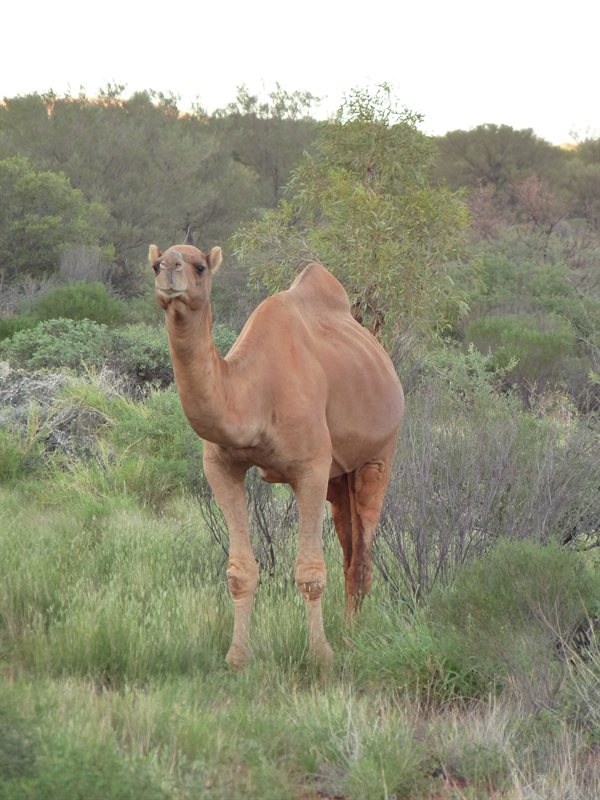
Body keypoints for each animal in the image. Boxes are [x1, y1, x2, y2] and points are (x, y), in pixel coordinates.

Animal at [150, 242, 404, 667]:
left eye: (200, 266)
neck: (253, 395)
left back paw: (351, 637)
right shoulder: (221, 466)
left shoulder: (311, 468)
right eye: (154, 264)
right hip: (339, 478)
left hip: (380, 453)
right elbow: (240, 570)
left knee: (363, 553)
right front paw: (237, 657)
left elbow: (311, 571)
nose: (169, 269)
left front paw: (320, 655)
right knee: (349, 544)